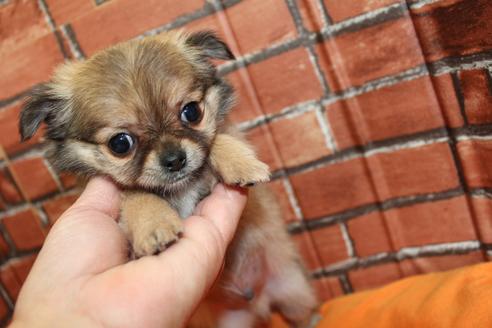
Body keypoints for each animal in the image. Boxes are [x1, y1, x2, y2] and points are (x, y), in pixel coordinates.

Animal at [20, 30, 316, 326]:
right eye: (120, 144)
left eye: (192, 112)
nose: (175, 159)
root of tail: (258, 304)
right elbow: (137, 195)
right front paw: (155, 225)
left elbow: (214, 142)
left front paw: (241, 163)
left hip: (295, 291)